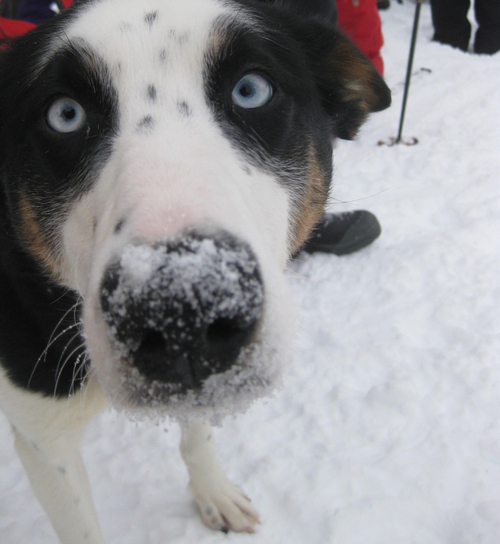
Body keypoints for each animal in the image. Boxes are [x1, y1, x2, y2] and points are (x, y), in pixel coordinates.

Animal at [0, 0, 390, 540]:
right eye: (65, 114)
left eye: (251, 90)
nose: (181, 309)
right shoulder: (44, 438)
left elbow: (198, 436)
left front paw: (214, 493)